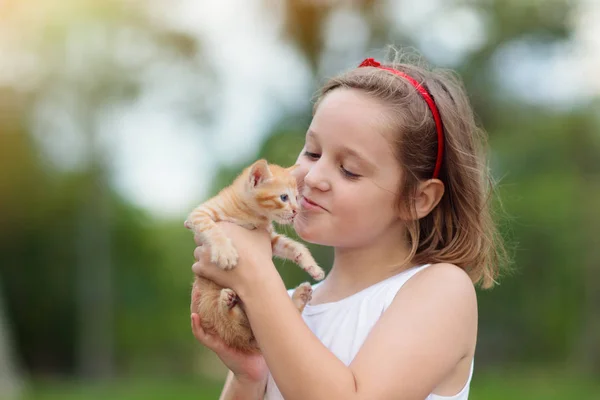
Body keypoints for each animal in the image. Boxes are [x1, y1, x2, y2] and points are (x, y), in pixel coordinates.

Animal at [186, 159, 324, 354]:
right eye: (284, 198)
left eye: (296, 198)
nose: (296, 211)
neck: (251, 213)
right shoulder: (199, 214)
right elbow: (212, 228)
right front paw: (225, 252)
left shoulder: (271, 238)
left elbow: (293, 246)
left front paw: (311, 265)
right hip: (207, 300)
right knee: (234, 329)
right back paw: (227, 304)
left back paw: (300, 296)